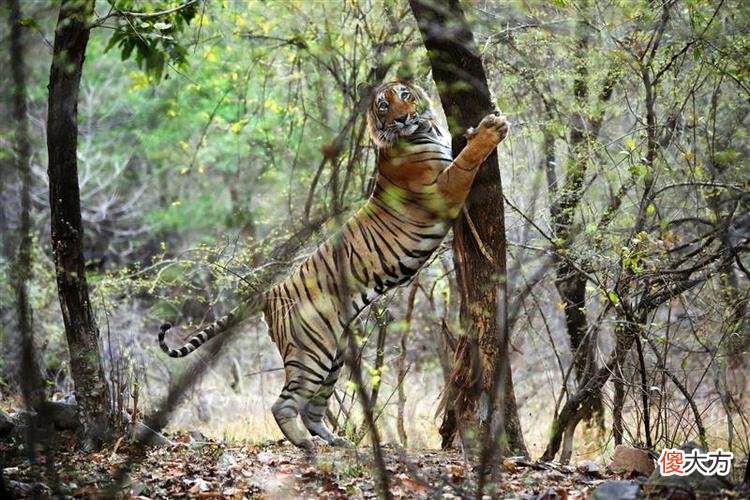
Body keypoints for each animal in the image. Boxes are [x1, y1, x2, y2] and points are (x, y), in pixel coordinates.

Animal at [158, 80, 509, 450]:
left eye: (405, 96)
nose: (402, 119)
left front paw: (483, 124)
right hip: (312, 354)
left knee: (313, 409)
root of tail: (270, 294)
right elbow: (466, 160)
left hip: (333, 357)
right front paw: (492, 130)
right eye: (383, 107)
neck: (423, 130)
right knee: (284, 404)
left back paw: (337, 441)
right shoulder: (442, 189)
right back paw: (305, 443)